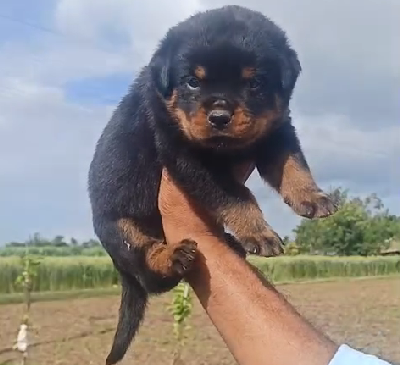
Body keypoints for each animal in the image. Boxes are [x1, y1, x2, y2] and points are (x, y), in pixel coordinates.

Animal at [86, 4, 338, 362]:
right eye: (192, 82)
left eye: (254, 83)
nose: (219, 117)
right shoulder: (187, 155)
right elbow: (235, 195)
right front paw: (258, 232)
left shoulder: (276, 129)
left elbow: (292, 163)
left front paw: (312, 196)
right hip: (120, 230)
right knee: (149, 271)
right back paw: (172, 257)